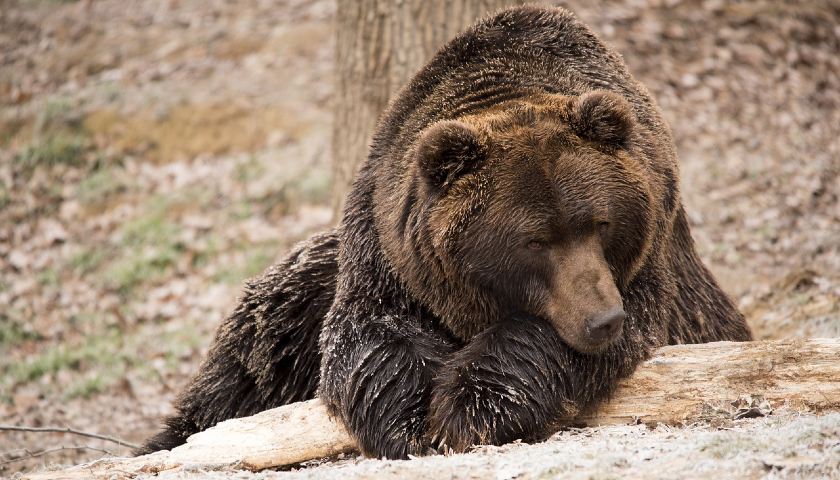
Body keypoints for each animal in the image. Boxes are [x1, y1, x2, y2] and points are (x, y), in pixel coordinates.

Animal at [139, 5, 752, 459]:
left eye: (600, 223)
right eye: (535, 240)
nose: (602, 319)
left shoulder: (648, 267)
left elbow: (555, 337)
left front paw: (468, 405)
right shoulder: (387, 249)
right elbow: (368, 336)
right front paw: (413, 419)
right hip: (304, 290)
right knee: (256, 350)